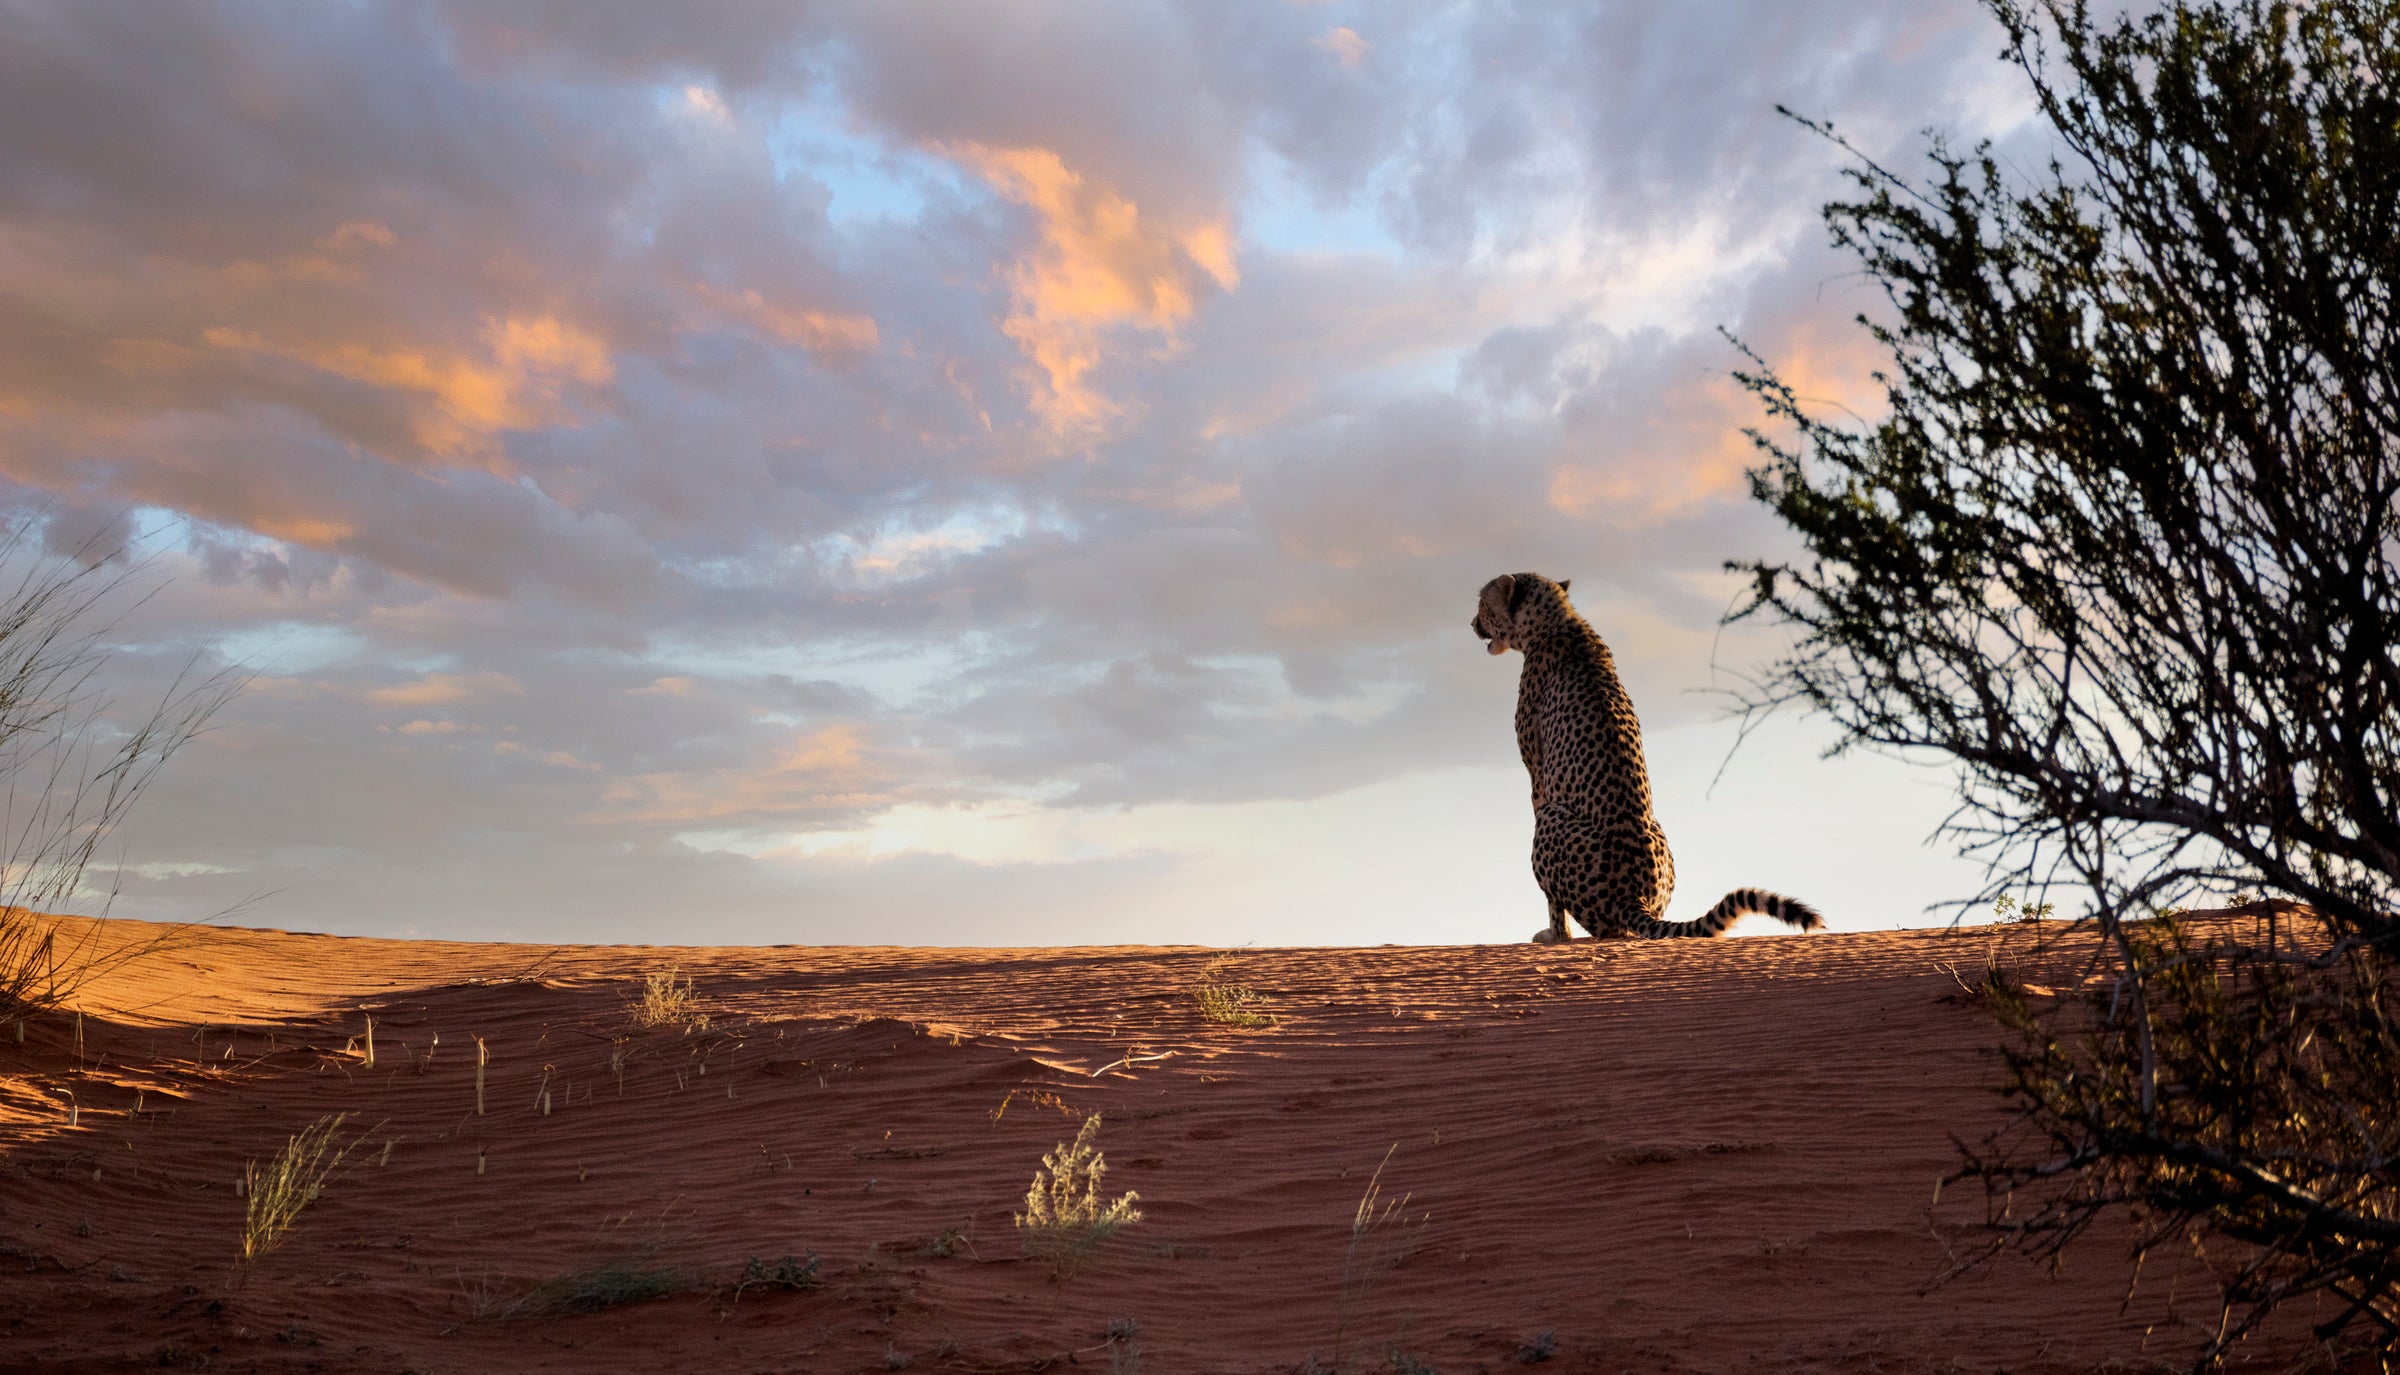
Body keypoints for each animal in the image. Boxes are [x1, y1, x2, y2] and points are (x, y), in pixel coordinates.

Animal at [1472, 571, 1824, 942]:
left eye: (1482, 604)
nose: (1472, 624)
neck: (1555, 621)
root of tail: (1634, 897)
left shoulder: (1538, 776)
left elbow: (1552, 898)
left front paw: (1557, 936)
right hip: (1658, 835)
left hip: (1553, 818)